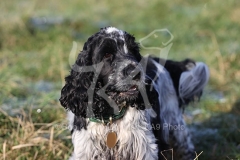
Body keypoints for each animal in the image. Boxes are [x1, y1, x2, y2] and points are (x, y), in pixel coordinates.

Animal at [59, 26, 208, 159]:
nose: (136, 72)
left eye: (133, 51)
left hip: (176, 127)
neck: (111, 117)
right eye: (107, 54)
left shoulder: (144, 147)